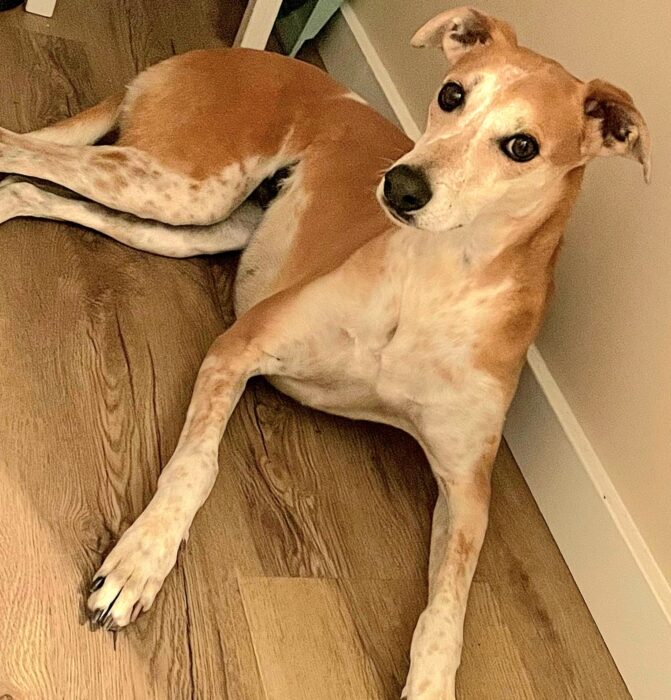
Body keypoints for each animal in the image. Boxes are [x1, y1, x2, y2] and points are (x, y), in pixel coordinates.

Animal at [0, 6, 649, 698]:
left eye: (522, 146)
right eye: (452, 95)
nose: (401, 185)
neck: (435, 283)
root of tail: (221, 55)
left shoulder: (468, 492)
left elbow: (446, 611)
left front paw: (430, 685)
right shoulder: (241, 346)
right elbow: (197, 466)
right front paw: (140, 561)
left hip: (187, 223)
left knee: (25, 190)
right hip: (175, 183)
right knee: (16, 145)